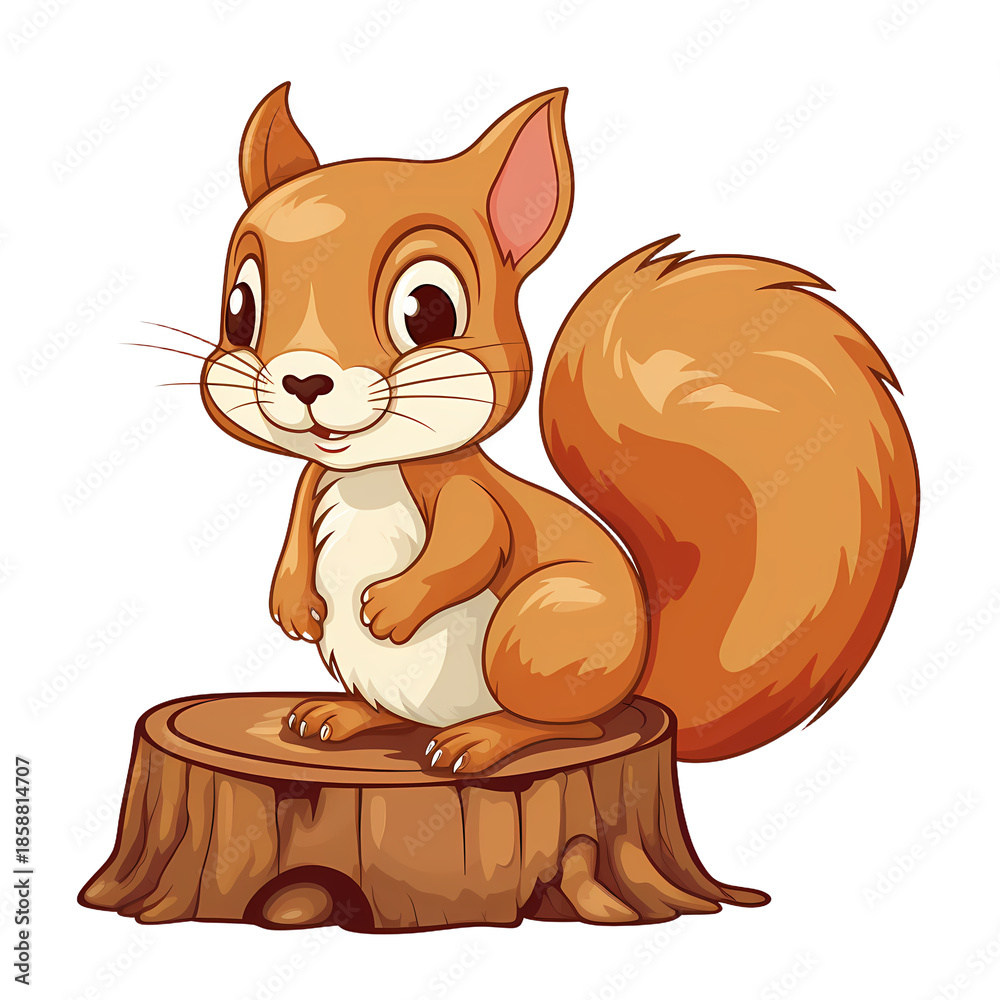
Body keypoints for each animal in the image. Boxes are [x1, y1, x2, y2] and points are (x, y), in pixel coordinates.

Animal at [200, 83, 918, 774]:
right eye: (240, 308)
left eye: (428, 309)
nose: (304, 380)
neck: (370, 473)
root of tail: (636, 680)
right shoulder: (318, 478)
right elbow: (296, 528)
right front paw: (291, 600)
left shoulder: (470, 495)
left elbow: (476, 543)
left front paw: (394, 603)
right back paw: (344, 716)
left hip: (536, 631)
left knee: (570, 724)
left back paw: (481, 740)